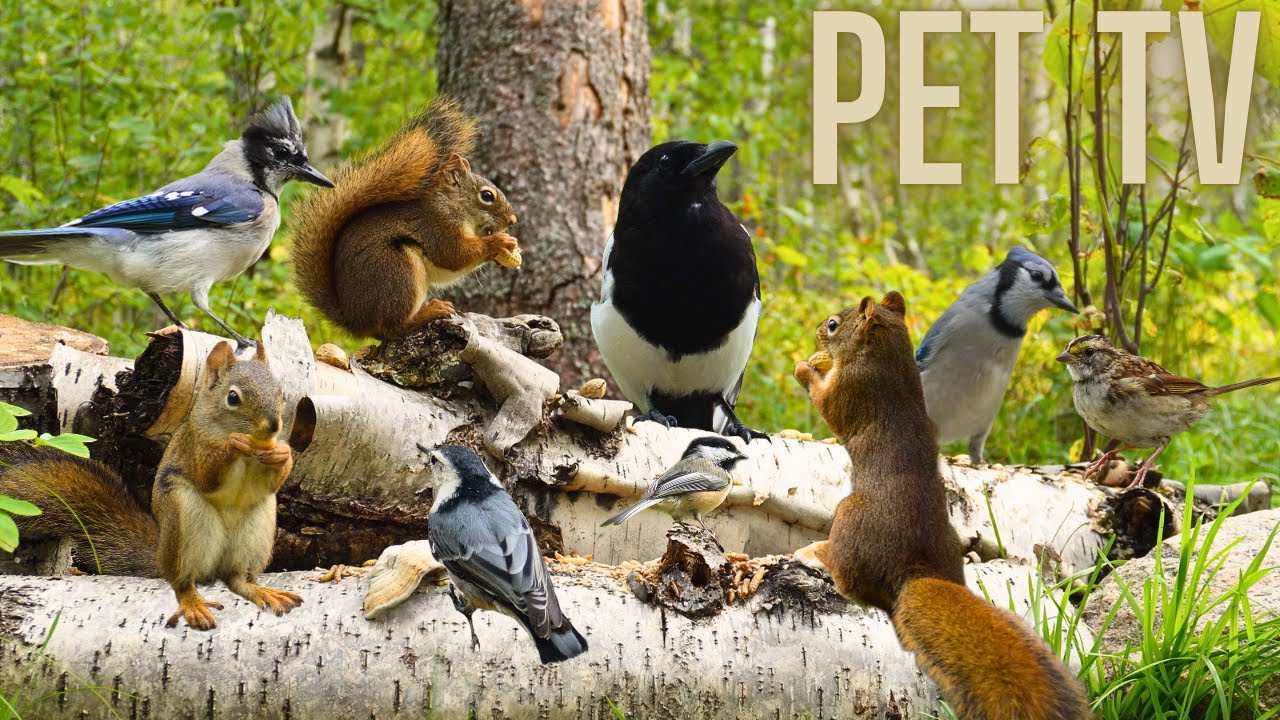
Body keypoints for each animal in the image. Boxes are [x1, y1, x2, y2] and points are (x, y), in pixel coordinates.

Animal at [0, 340, 301, 630]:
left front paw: (283, 455)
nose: (273, 426)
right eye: (233, 397)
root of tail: (160, 556)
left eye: (280, 392)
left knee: (238, 579)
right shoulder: (194, 446)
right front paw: (233, 445)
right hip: (185, 518)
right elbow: (207, 476)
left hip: (257, 529)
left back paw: (260, 591)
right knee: (181, 581)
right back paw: (192, 603)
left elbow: (273, 483)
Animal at [289, 96, 520, 339]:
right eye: (487, 196)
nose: (512, 221)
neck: (452, 205)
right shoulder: (437, 225)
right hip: (397, 271)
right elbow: (454, 255)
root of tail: (356, 321)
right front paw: (498, 242)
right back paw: (429, 312)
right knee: (395, 326)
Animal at [792, 292, 1090, 720]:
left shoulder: (851, 391)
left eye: (833, 325)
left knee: (851, 581)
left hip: (850, 519)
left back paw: (817, 552)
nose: (818, 332)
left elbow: (827, 405)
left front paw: (806, 366)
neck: (889, 357)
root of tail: (916, 569)